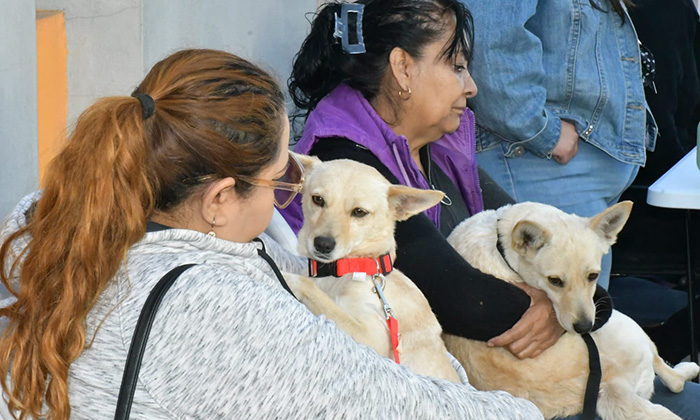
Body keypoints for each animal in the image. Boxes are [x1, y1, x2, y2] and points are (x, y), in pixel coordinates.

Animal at [282, 155, 462, 384]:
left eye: (359, 212)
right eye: (318, 200)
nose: (323, 244)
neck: (352, 268)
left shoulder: (371, 337)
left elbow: (312, 289)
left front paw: (286, 276)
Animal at [446, 202, 696, 418]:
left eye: (593, 276)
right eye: (554, 281)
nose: (585, 327)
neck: (500, 245)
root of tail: (613, 384)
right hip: (628, 325)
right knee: (670, 375)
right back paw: (689, 368)